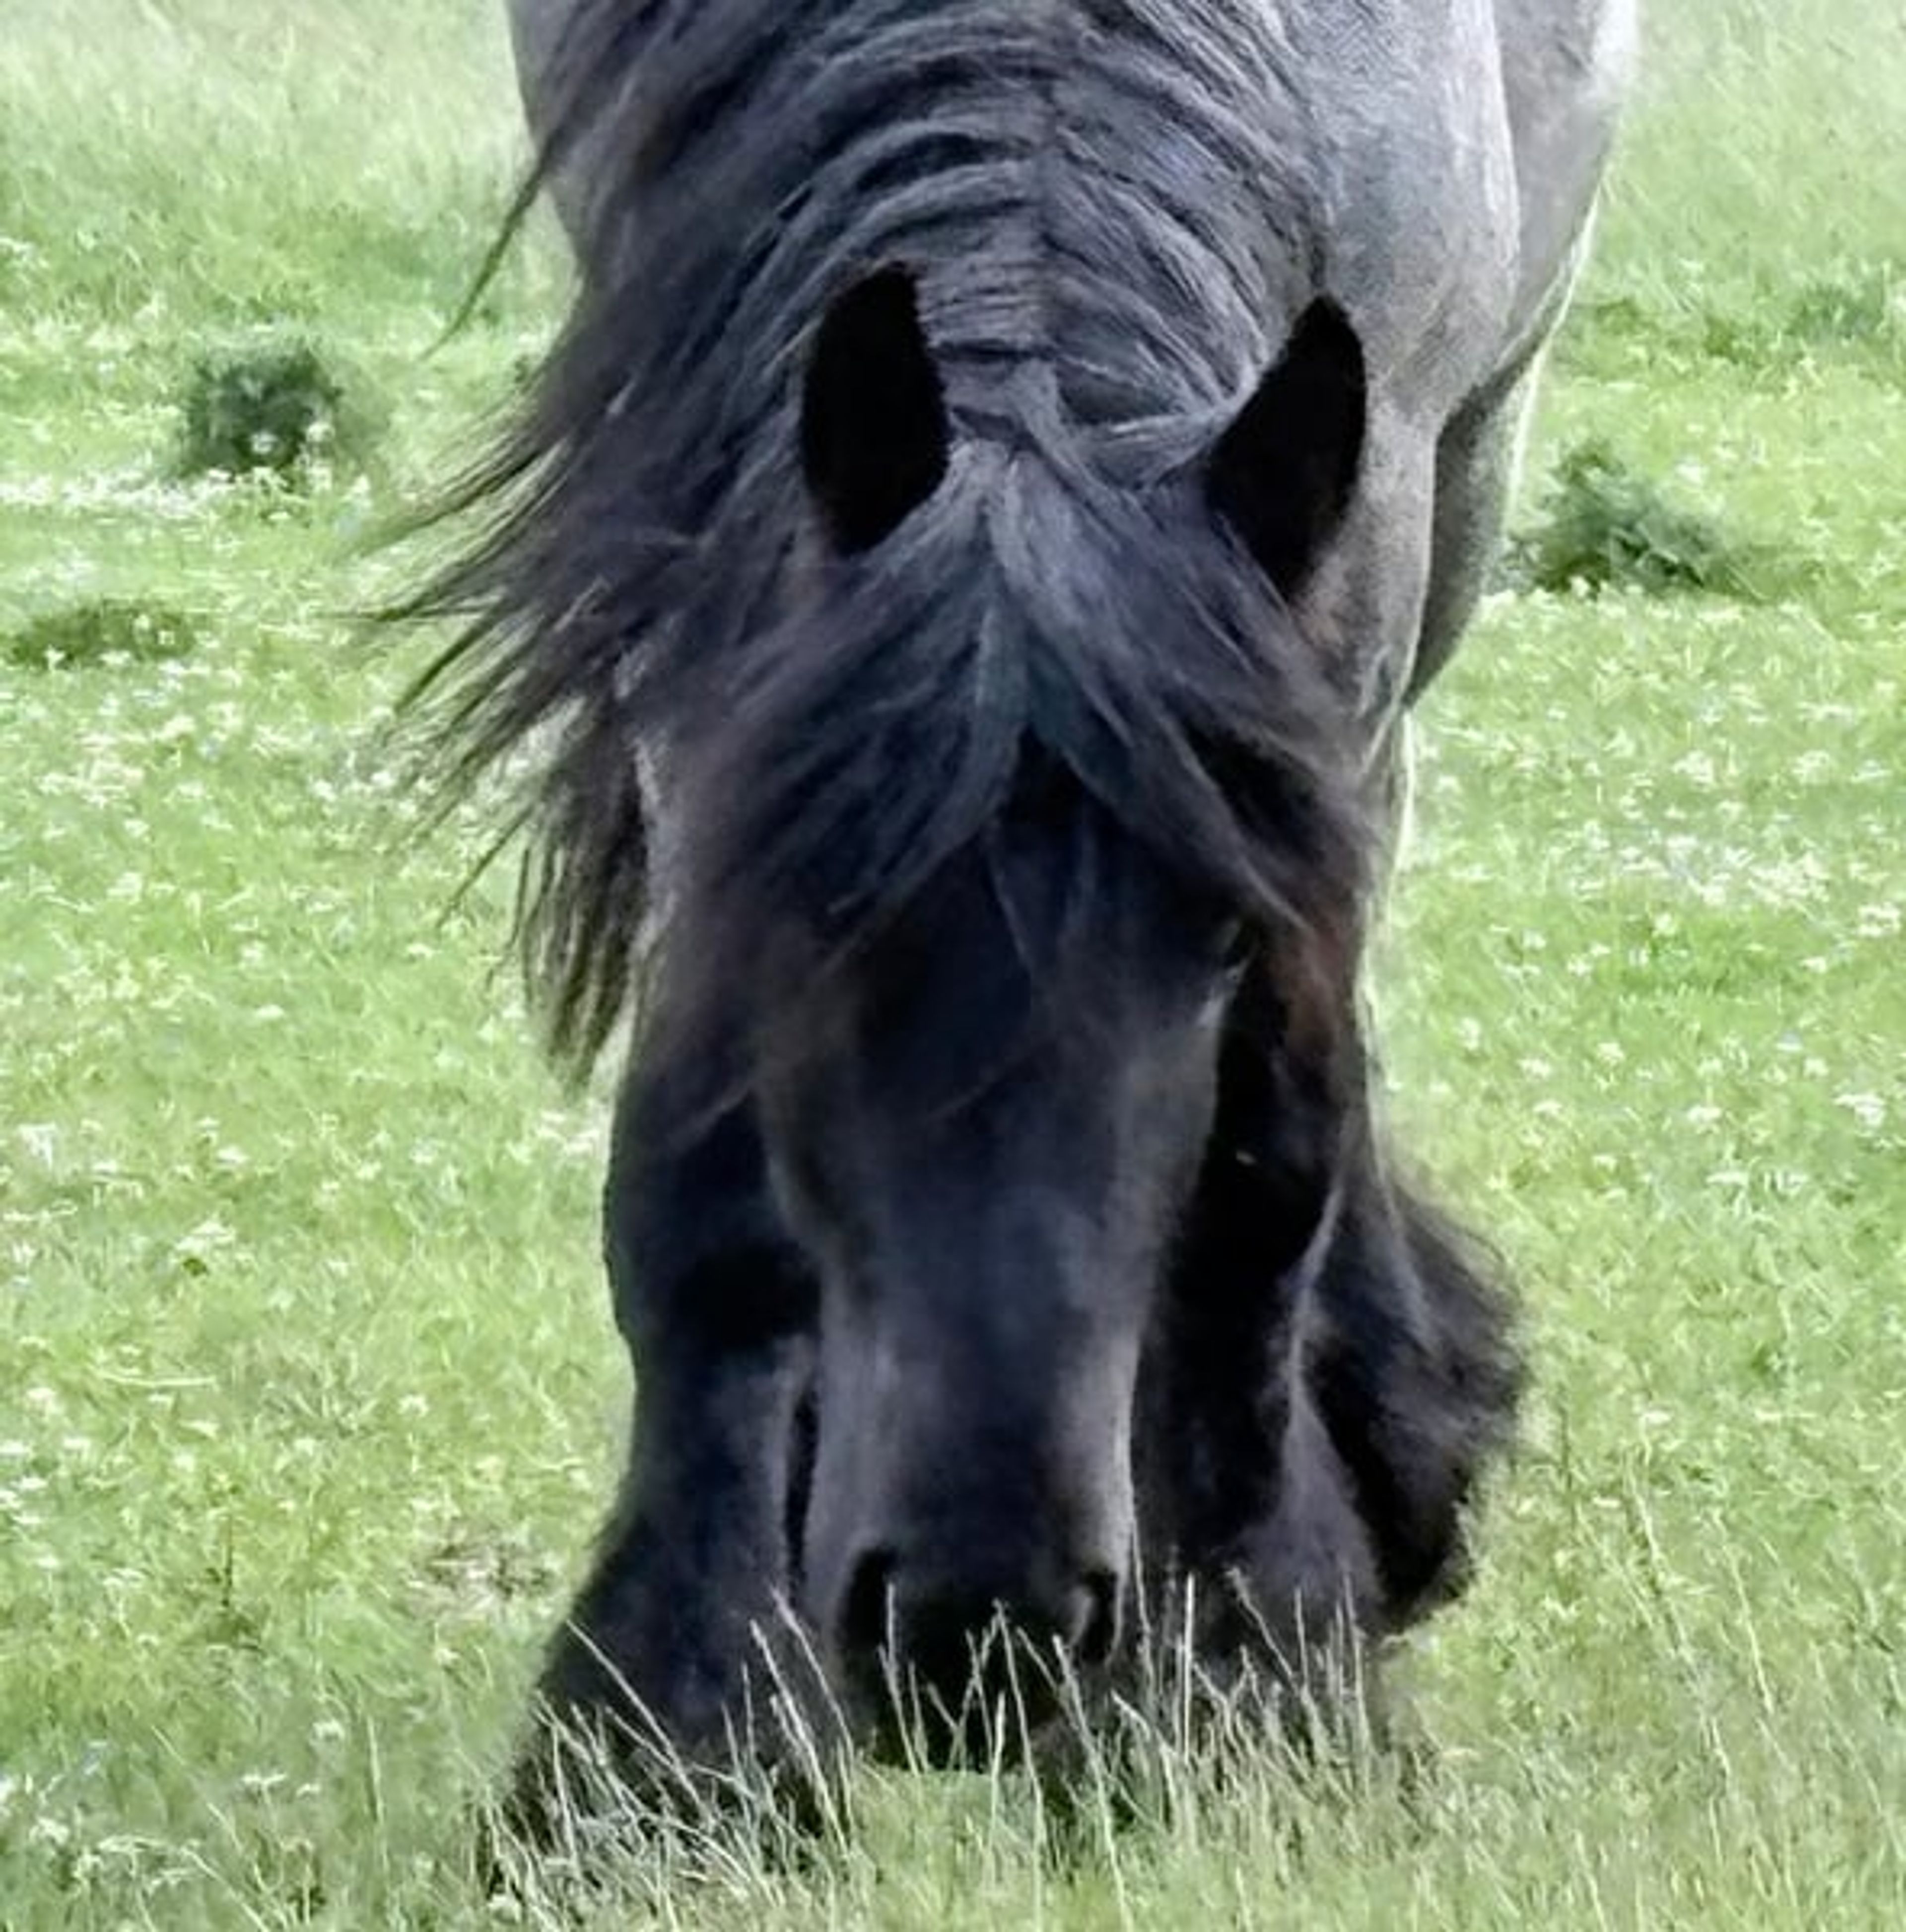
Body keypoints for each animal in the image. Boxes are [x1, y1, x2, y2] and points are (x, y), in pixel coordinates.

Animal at [424, 0, 1634, 1817]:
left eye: (1225, 944)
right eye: (807, 914)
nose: (981, 1622)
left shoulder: (1351, 628)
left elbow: (1274, 1162)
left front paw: (1256, 1692)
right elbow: (705, 1202)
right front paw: (670, 1759)